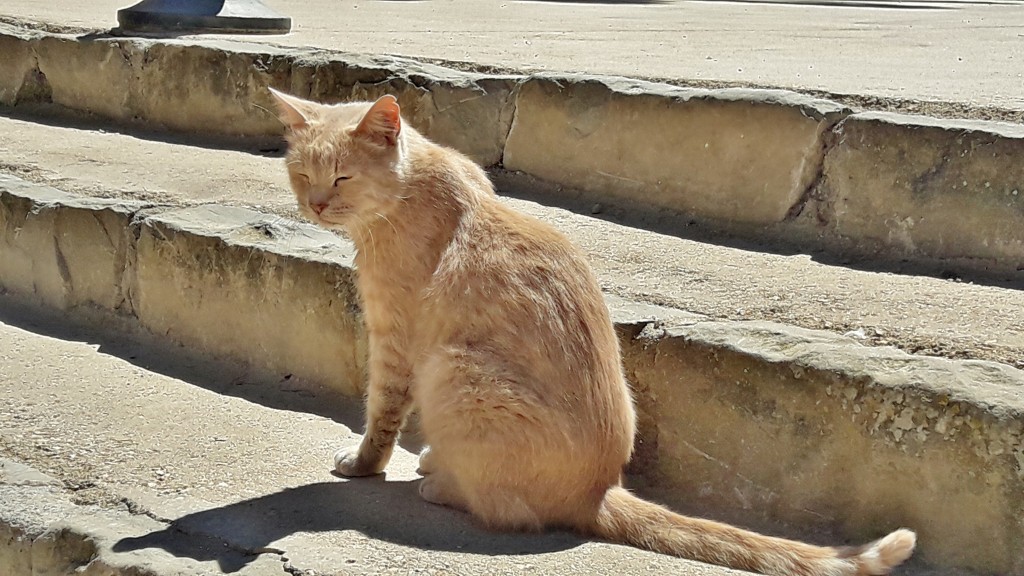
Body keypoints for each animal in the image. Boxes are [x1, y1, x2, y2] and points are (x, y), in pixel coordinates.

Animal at [268, 88, 917, 573]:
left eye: (342, 178)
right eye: (301, 174)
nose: (315, 205)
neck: (414, 187)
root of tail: (598, 490)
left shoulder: (395, 341)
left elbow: (381, 413)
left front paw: (363, 465)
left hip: (453, 368)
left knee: (508, 511)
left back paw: (441, 480)